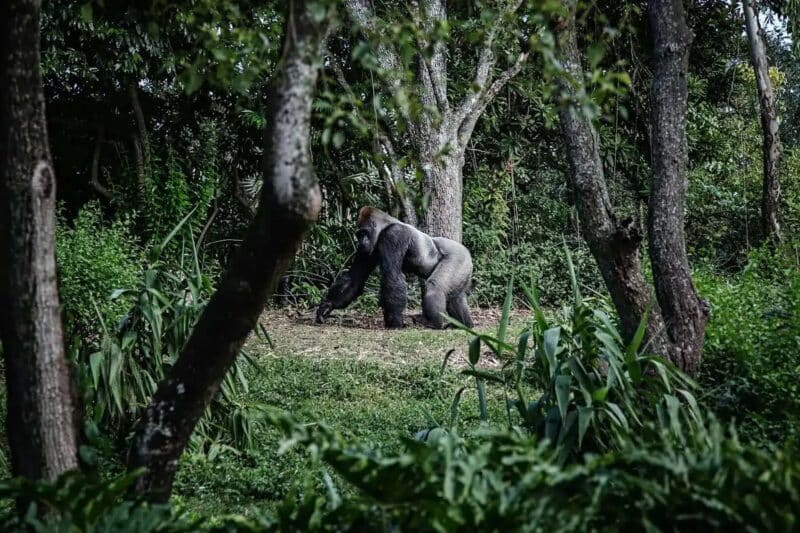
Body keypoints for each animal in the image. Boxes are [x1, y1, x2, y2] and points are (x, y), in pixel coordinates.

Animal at [316, 206, 474, 329]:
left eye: (364, 233)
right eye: (358, 234)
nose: (360, 243)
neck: (385, 225)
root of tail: (467, 252)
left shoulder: (393, 235)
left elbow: (391, 275)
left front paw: (394, 322)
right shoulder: (368, 250)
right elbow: (354, 279)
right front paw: (327, 306)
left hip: (458, 257)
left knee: (435, 286)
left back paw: (435, 323)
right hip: (464, 267)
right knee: (456, 297)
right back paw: (464, 324)